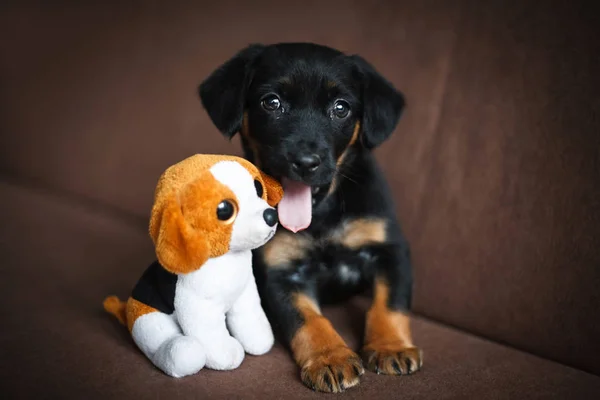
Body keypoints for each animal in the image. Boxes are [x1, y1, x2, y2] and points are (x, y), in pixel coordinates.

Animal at [199, 42, 420, 392]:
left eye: (341, 108)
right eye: (272, 102)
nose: (305, 162)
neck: (322, 213)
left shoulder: (390, 249)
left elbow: (389, 304)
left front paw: (390, 347)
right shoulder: (280, 271)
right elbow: (308, 320)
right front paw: (330, 358)